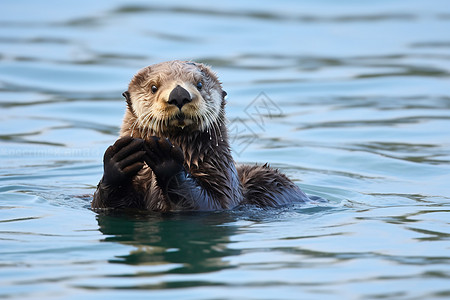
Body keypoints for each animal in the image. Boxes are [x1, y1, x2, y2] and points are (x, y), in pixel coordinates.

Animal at [91, 60, 310, 211]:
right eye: (153, 87)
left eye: (199, 84)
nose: (179, 94)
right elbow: (104, 203)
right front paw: (119, 160)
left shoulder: (224, 192)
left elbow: (207, 204)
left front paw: (166, 158)